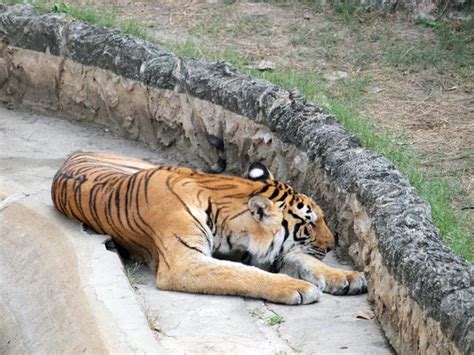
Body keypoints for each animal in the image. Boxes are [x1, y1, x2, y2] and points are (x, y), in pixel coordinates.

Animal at [51, 152, 368, 304]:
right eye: (309, 223)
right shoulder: (184, 262)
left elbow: (302, 259)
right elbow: (243, 275)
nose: (332, 245)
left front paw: (347, 277)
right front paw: (297, 288)